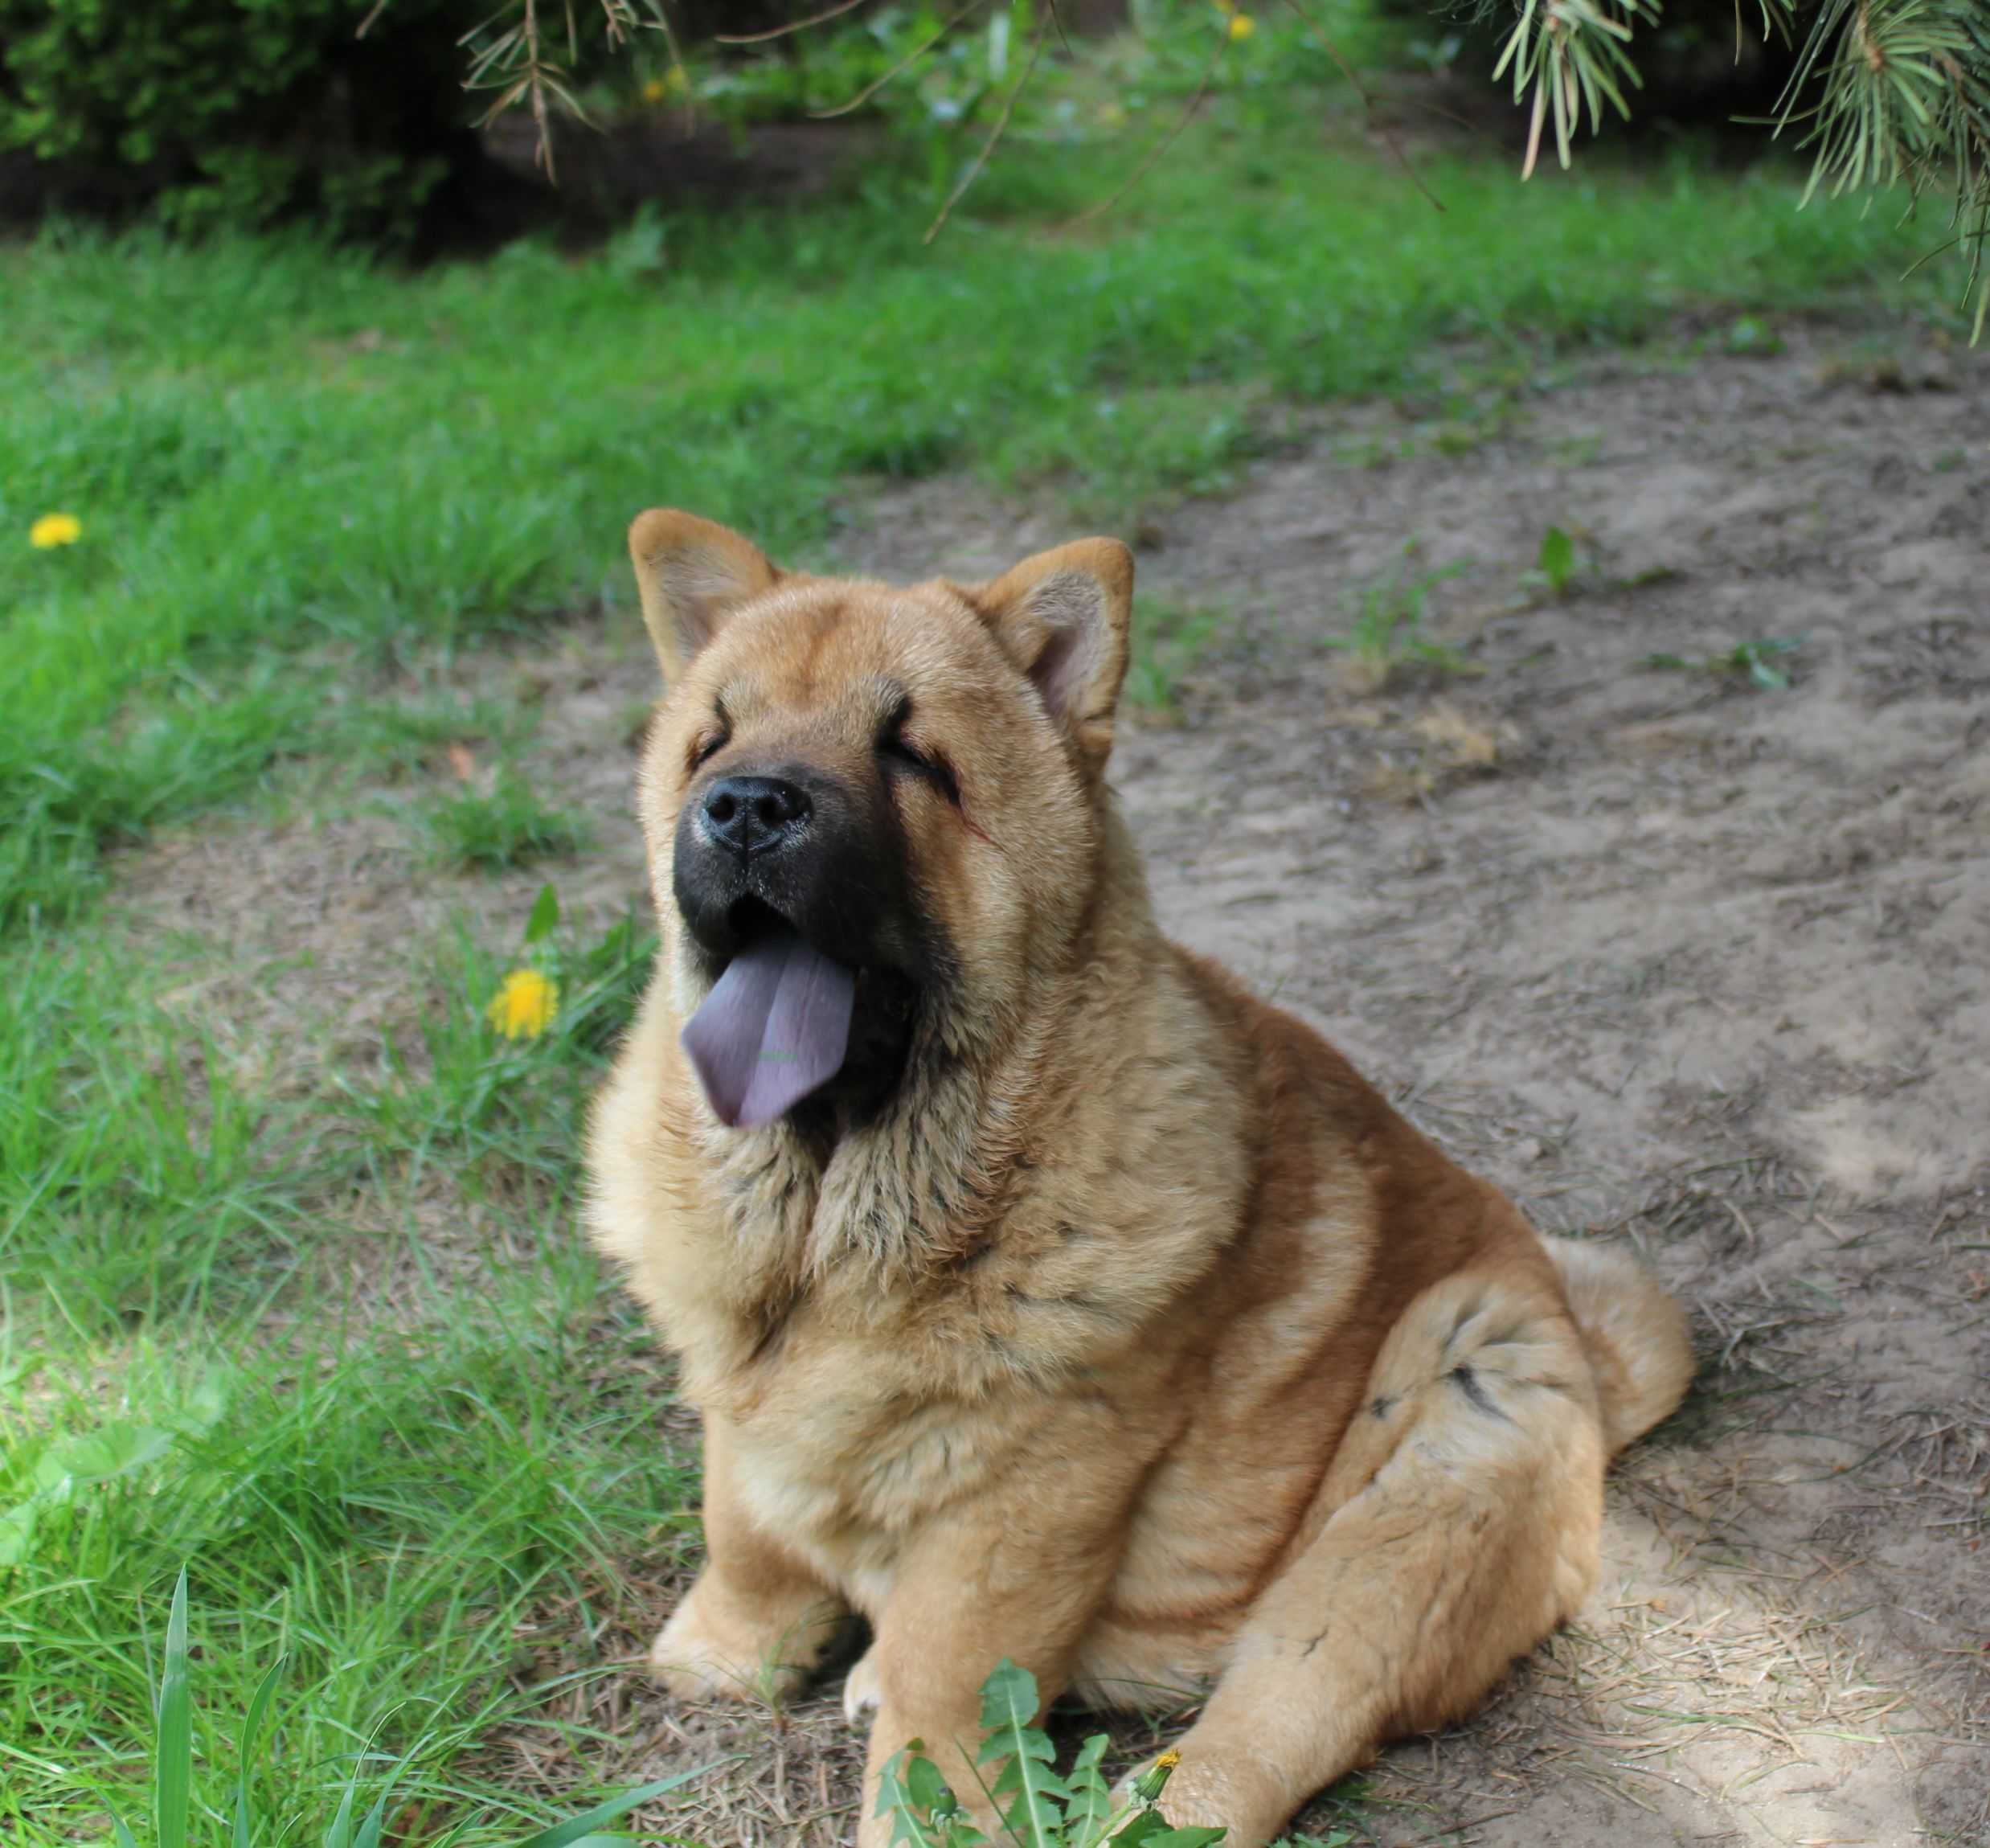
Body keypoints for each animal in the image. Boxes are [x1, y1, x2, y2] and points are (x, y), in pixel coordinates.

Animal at [584, 509, 1695, 1846]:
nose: (746, 804)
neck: (832, 1227)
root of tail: (1586, 1351)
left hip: (1447, 1453)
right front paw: (723, 1650)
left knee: (1261, 1730)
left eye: (913, 754)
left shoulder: (1029, 1491)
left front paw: (923, 1806)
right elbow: (744, 1518)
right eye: (714, 738)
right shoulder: (738, 1393)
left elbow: (947, 1670)